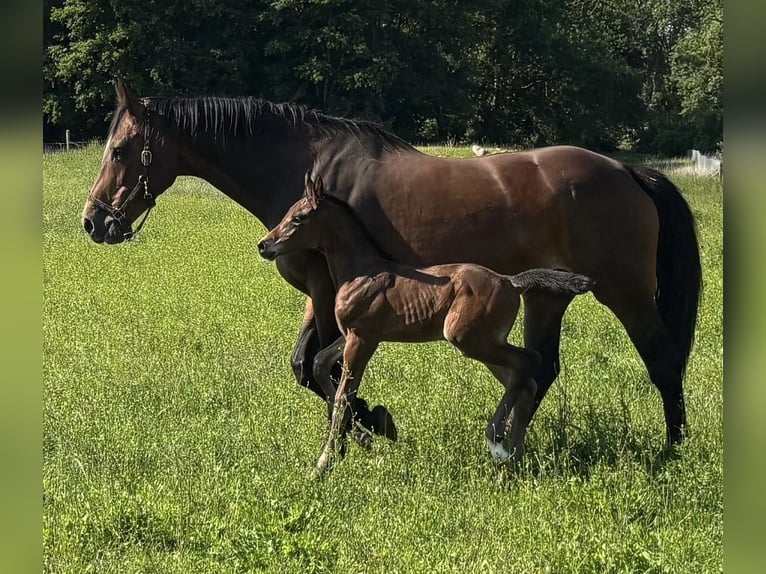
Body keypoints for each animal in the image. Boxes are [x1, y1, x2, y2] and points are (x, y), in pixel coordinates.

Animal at [258, 173, 596, 474]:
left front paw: (323, 465)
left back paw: (496, 442)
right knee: (525, 381)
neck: (361, 271)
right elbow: (319, 364)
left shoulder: (362, 338)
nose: (264, 245)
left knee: (529, 361)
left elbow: (344, 395)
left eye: (299, 218)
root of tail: (511, 281)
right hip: (486, 341)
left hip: (468, 338)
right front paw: (365, 437)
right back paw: (514, 457)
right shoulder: (357, 335)